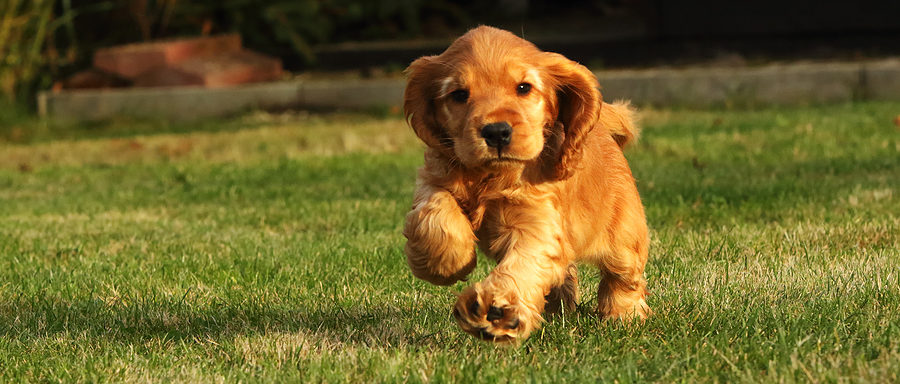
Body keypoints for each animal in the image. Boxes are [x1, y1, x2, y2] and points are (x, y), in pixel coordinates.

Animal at [400, 26, 648, 342]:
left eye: (523, 88)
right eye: (459, 94)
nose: (496, 132)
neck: (492, 175)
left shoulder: (536, 218)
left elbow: (524, 262)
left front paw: (496, 310)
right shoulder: (435, 177)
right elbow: (434, 217)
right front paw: (445, 264)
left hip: (625, 234)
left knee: (623, 277)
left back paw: (624, 317)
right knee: (563, 273)